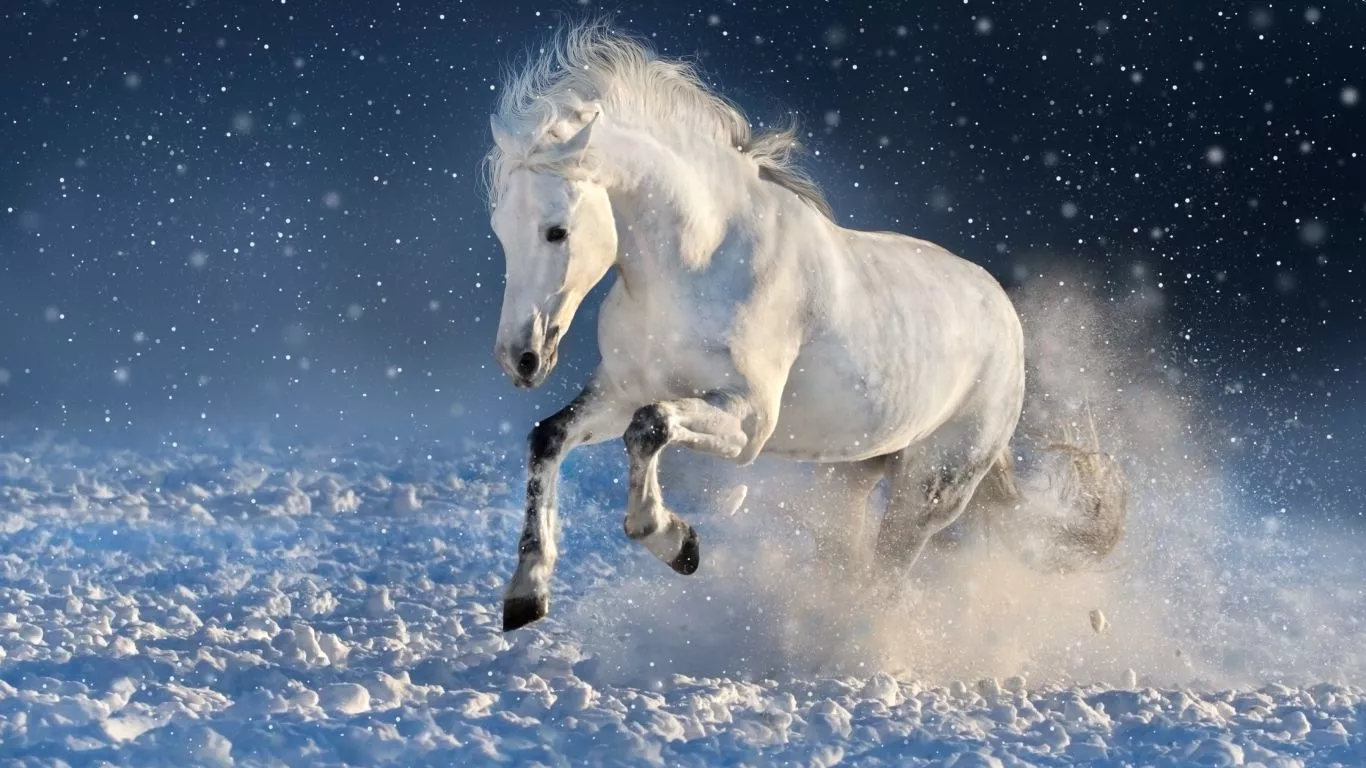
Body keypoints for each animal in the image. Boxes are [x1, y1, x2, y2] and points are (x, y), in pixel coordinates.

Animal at [483, 21, 1127, 632]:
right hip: (853, 473)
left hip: (932, 488)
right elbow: (550, 437)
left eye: (557, 230)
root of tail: (1006, 319)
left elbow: (650, 428)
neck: (700, 264)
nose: (521, 359)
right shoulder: (621, 391)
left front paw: (677, 543)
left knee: (886, 577)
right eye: (500, 230)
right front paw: (527, 594)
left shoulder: (749, 420)